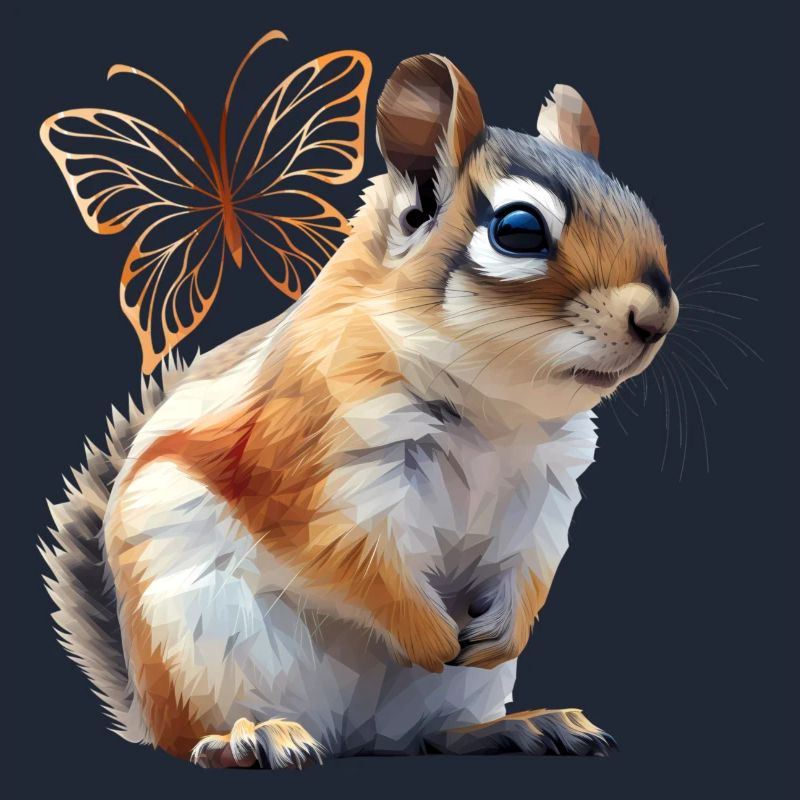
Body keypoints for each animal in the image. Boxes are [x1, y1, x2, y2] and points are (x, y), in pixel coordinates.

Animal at [41, 53, 679, 767]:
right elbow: (355, 560)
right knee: (201, 737)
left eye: (639, 206)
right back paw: (253, 737)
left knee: (433, 737)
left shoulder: (546, 485)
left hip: (450, 697)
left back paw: (523, 725)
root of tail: (352, 737)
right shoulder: (315, 458)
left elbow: (534, 560)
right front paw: (430, 634)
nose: (657, 317)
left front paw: (506, 631)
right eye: (518, 230)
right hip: (204, 649)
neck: (496, 410)